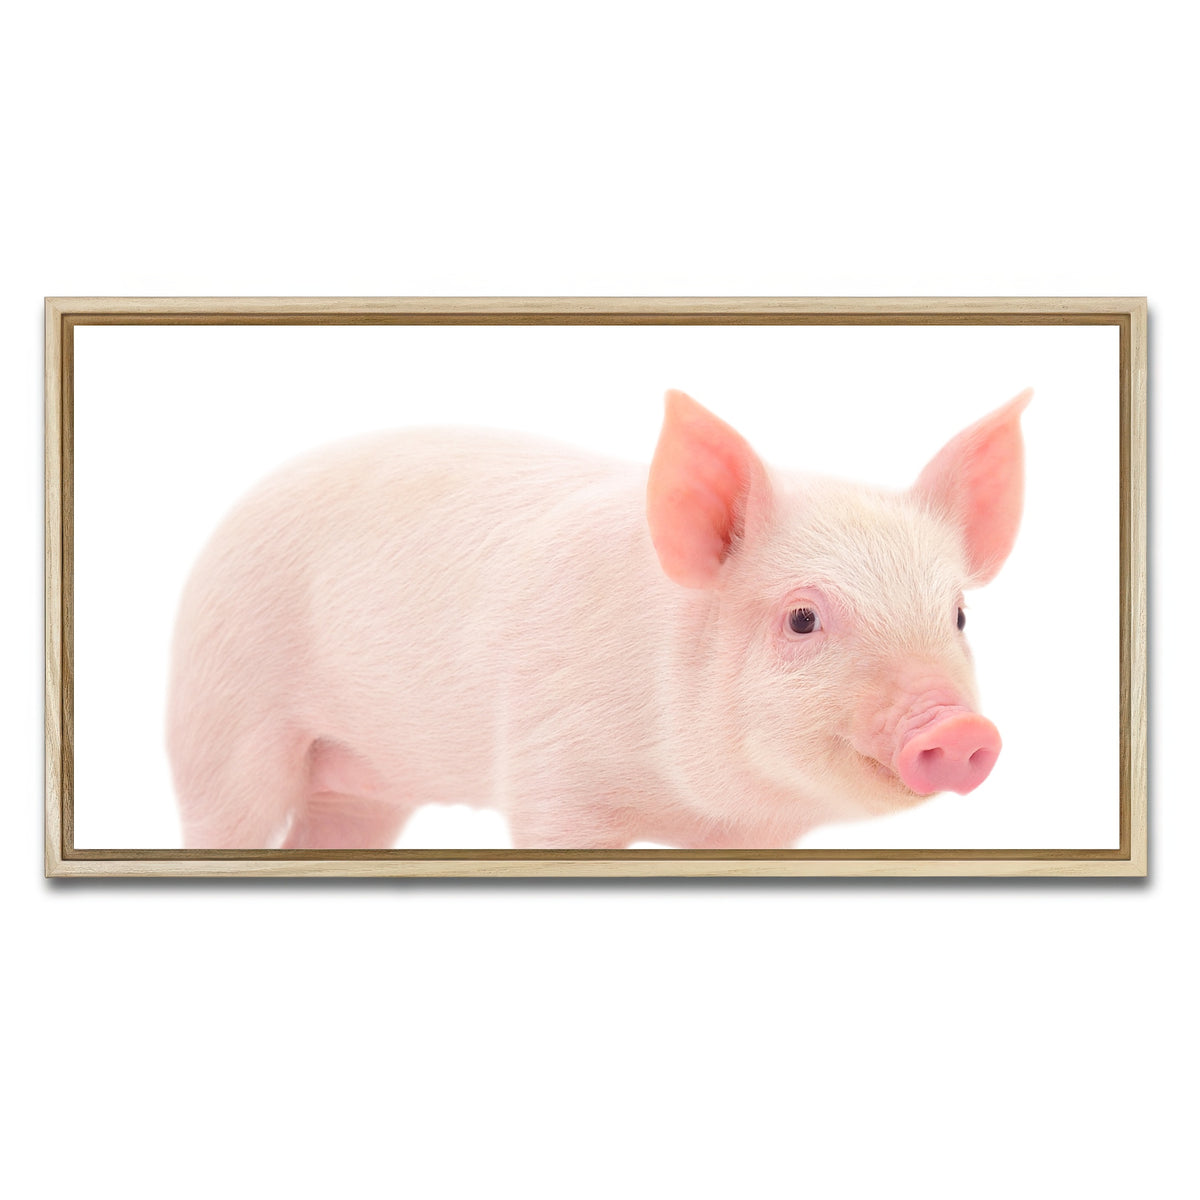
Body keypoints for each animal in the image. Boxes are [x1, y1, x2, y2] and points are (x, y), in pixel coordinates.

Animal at [167, 387, 1030, 851]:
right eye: (802, 618)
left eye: (957, 615)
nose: (959, 729)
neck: (691, 807)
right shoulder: (548, 771)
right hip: (221, 715)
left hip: (364, 783)